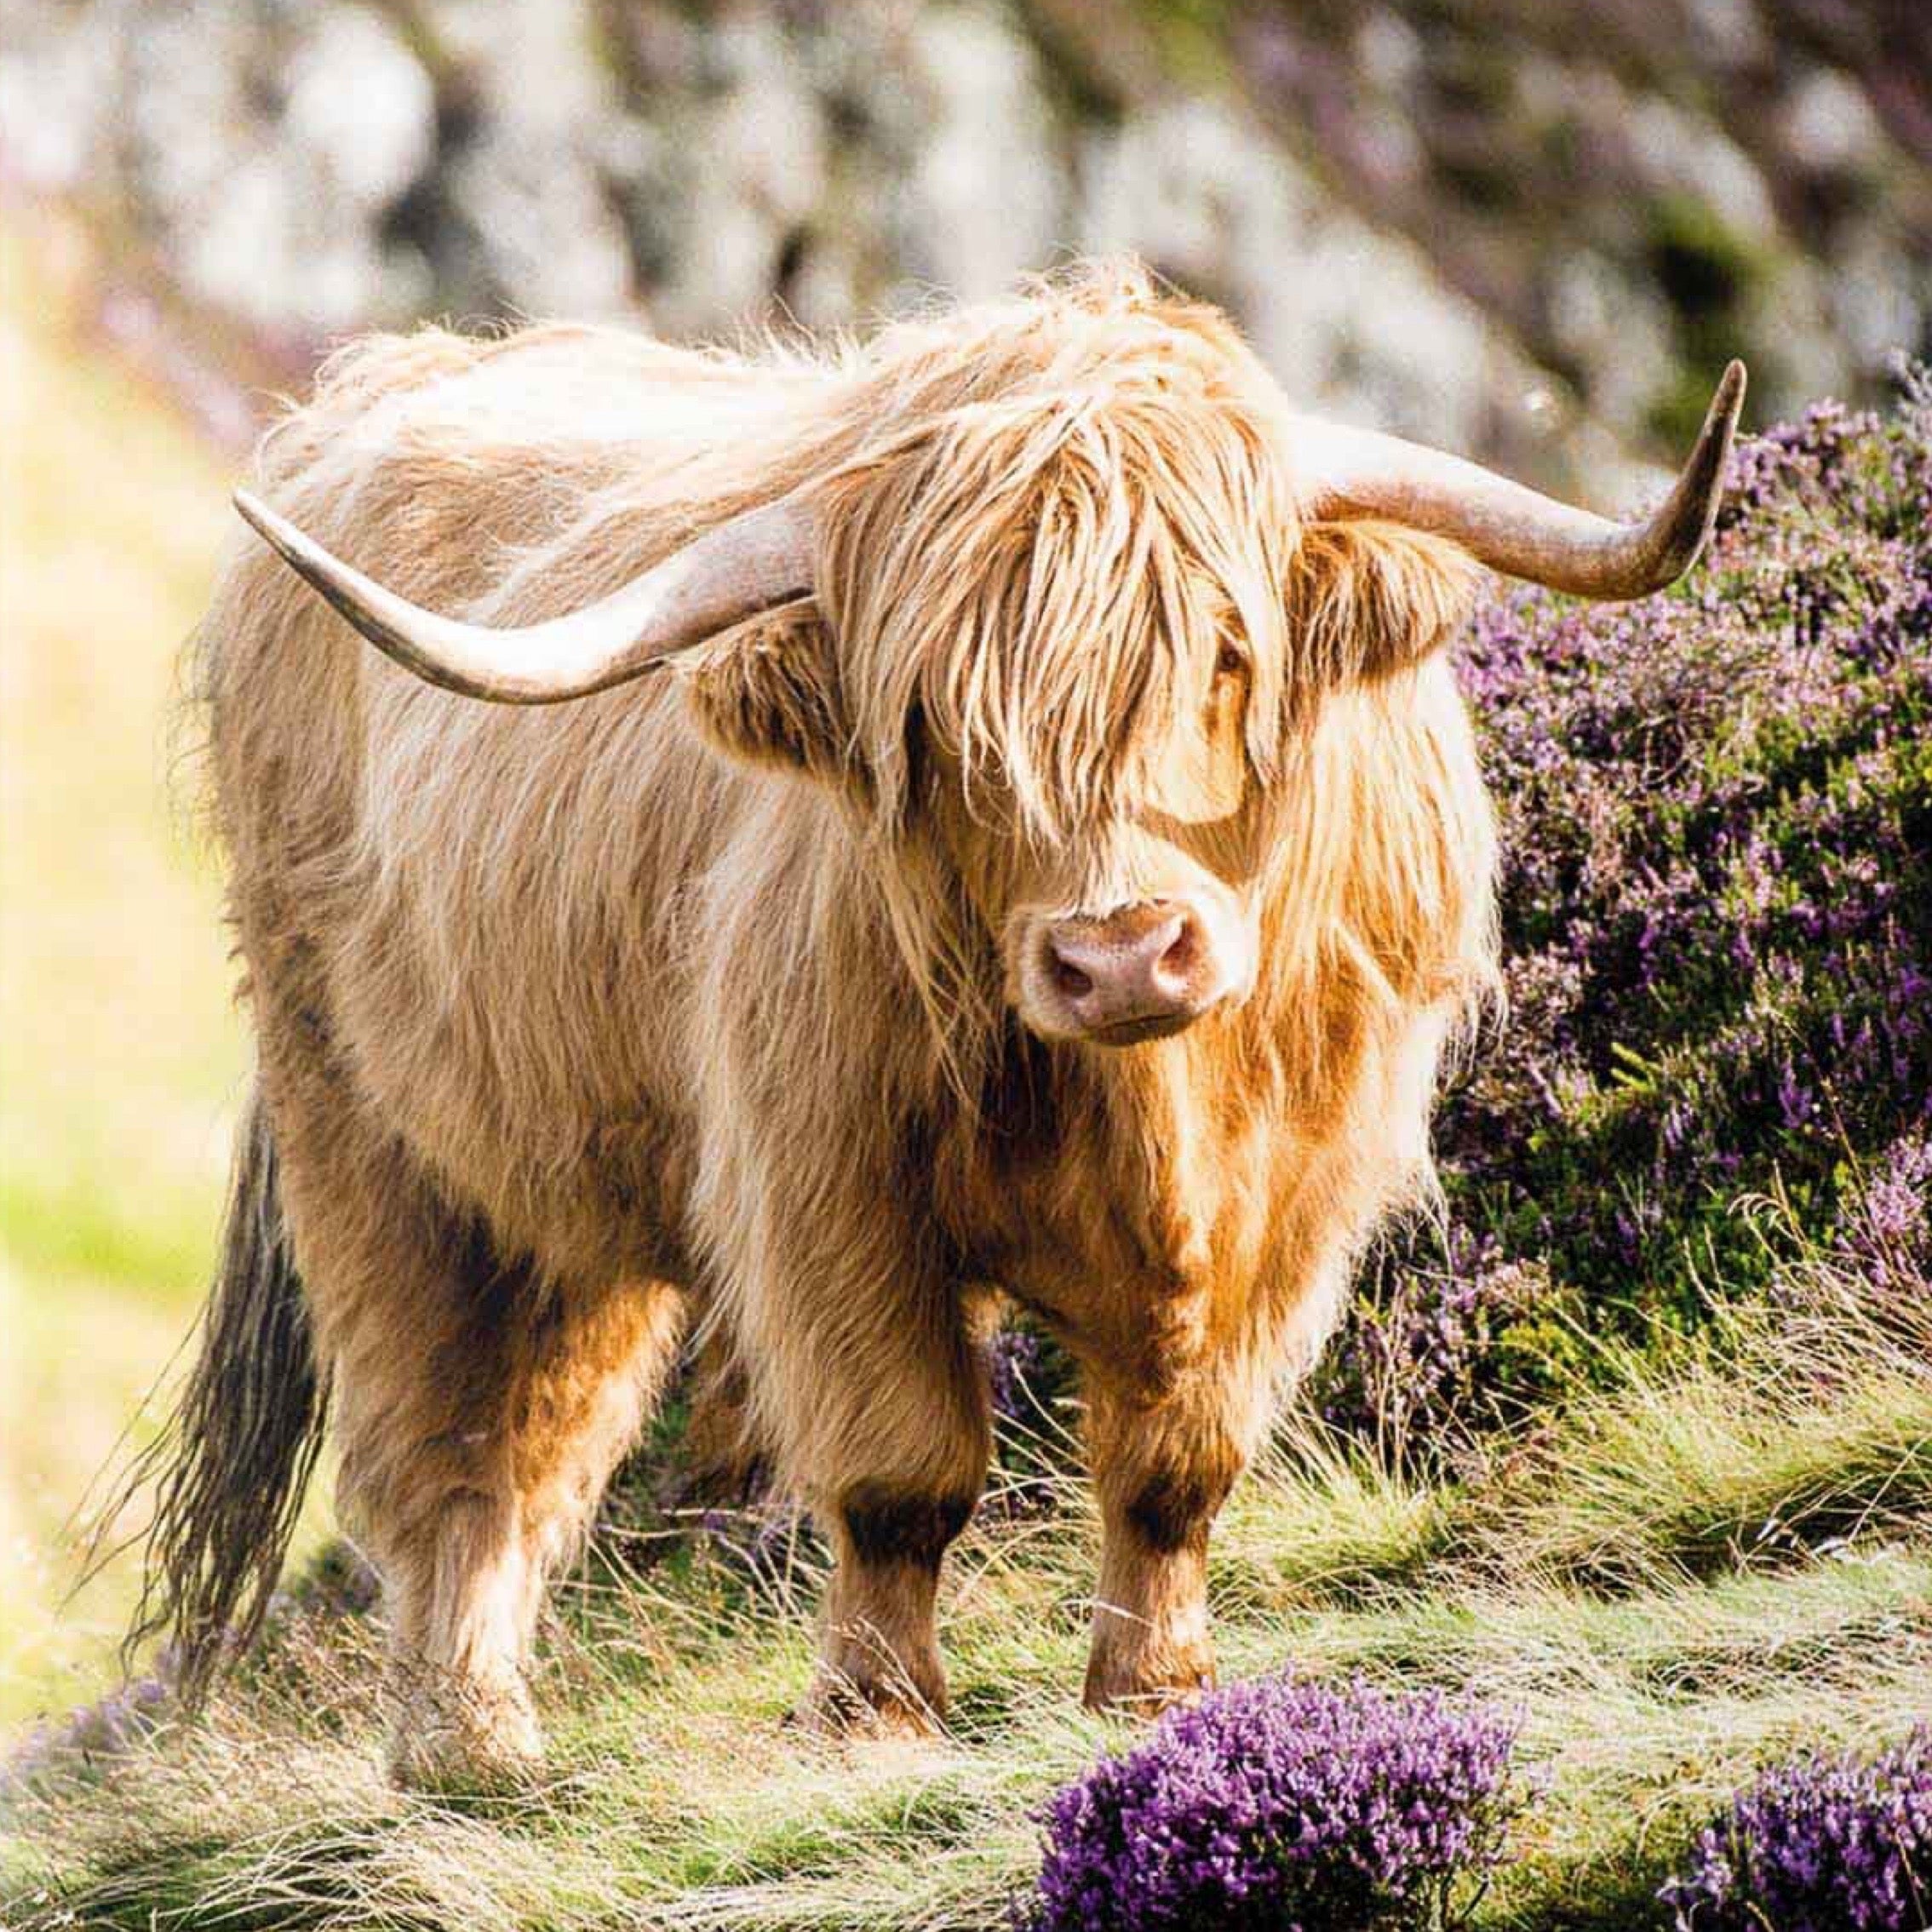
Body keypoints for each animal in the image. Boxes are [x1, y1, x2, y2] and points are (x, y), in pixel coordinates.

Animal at [130, 262, 1742, 1787]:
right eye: (938, 723)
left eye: (1226, 658)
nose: (1120, 952)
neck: (1150, 1108)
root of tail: (378, 387)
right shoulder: (828, 1184)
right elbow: (901, 1465)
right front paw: (875, 1713)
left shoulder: (1301, 1191)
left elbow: (1178, 1460)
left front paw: (1154, 1693)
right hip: (375, 1139)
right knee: (463, 1444)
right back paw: (467, 1741)